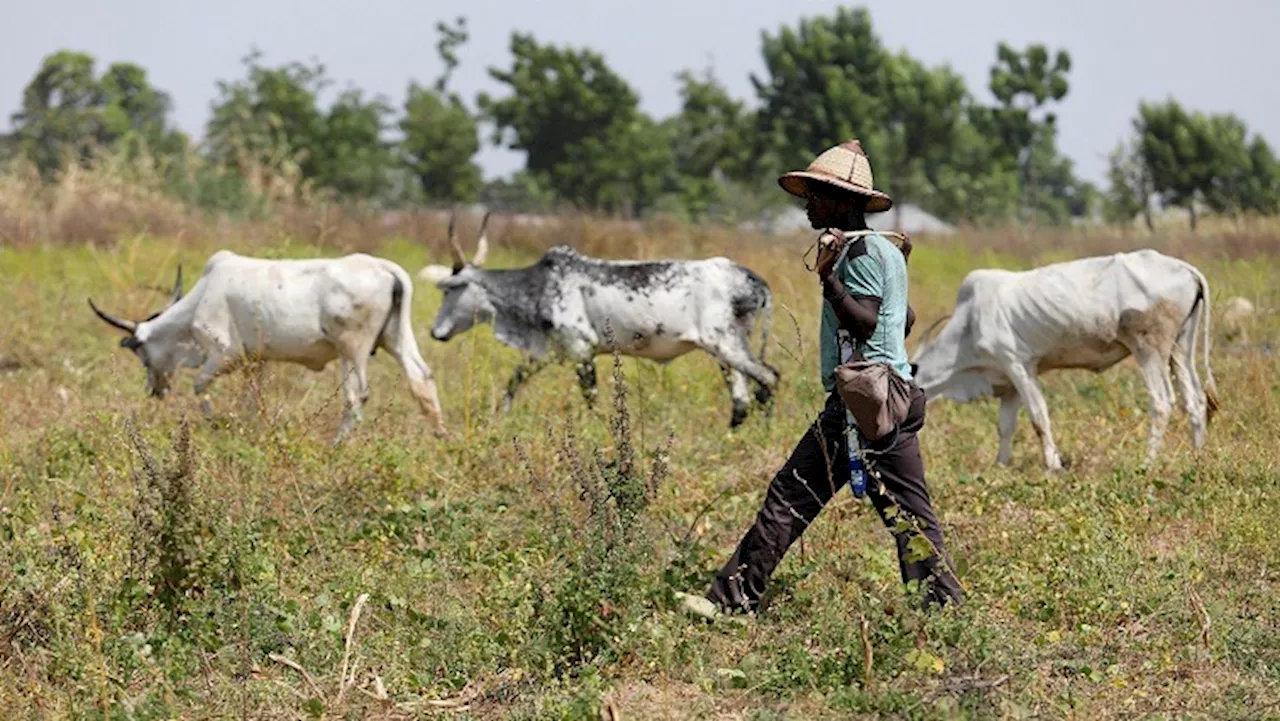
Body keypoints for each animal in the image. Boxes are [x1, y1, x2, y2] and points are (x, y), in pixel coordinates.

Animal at [87, 248, 448, 440]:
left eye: (142, 353)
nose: (155, 390)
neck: (200, 298)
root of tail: (384, 268)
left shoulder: (225, 355)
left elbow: (200, 385)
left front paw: (215, 423)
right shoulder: (256, 361)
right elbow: (252, 397)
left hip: (352, 349)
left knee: (356, 395)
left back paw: (337, 443)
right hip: (396, 339)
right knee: (422, 378)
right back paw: (441, 436)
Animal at [911, 251, 1218, 471]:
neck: (968, 325)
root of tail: (1186, 269)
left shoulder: (1017, 365)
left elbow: (1039, 418)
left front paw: (1053, 465)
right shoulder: (1008, 382)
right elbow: (1005, 426)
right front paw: (1001, 464)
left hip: (1149, 349)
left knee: (1162, 402)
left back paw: (1147, 463)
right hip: (1180, 349)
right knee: (1195, 401)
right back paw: (1197, 457)